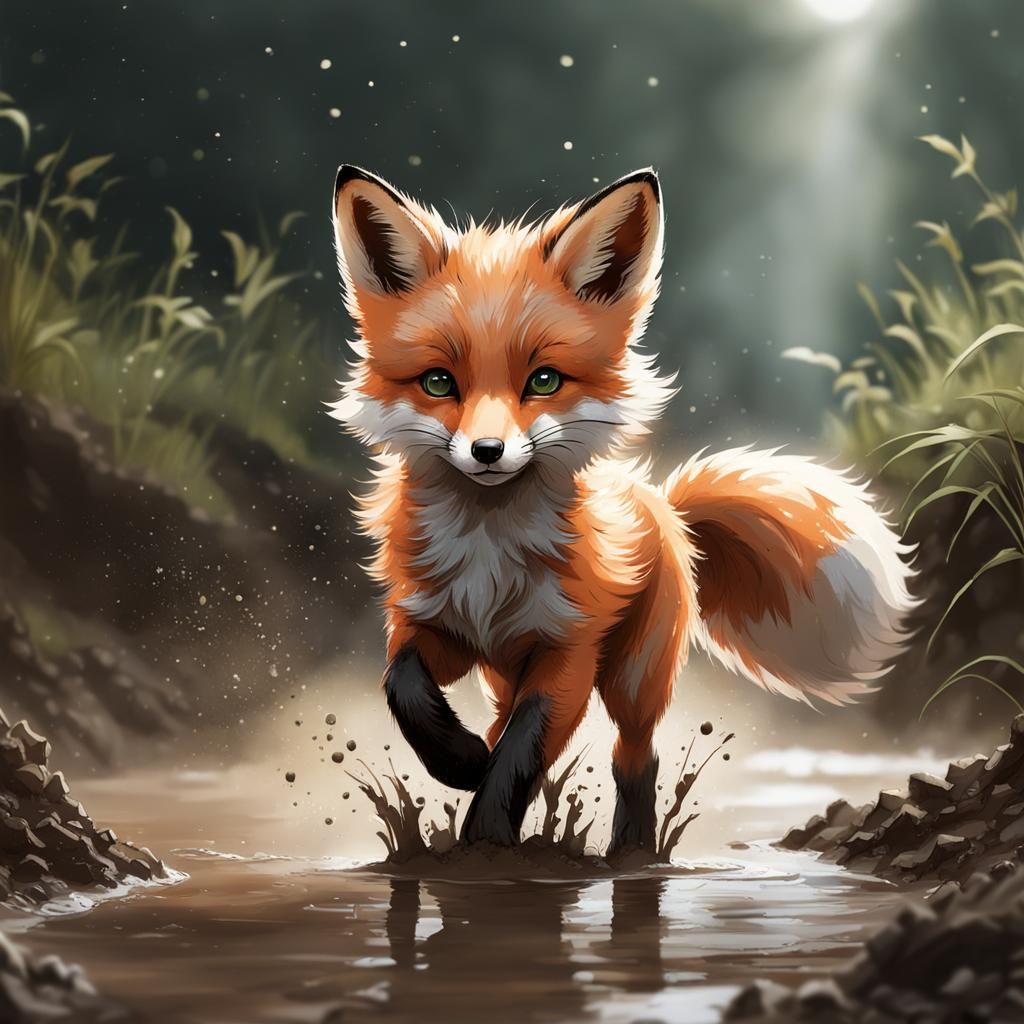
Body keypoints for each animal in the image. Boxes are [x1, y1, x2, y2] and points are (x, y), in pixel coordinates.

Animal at [328, 164, 916, 854]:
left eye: (544, 380)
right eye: (438, 382)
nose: (487, 452)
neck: (489, 554)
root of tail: (662, 503)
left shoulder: (568, 649)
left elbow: (524, 752)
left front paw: (488, 837)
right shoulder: (435, 624)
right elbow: (405, 687)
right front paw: (461, 763)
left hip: (634, 677)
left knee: (634, 754)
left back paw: (632, 848)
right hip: (505, 675)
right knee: (509, 726)